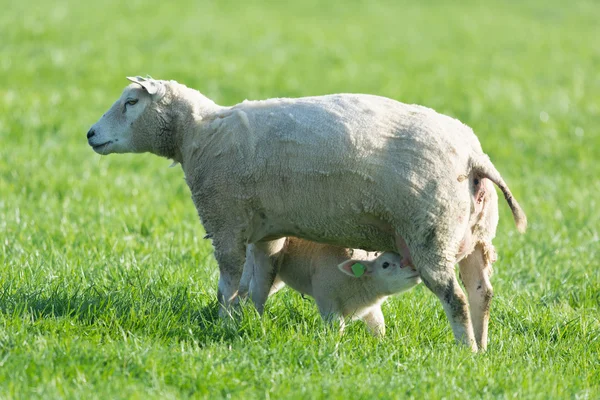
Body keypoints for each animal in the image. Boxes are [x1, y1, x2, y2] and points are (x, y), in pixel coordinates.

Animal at [237, 236, 420, 336]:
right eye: (385, 264)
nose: (415, 269)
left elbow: (379, 327)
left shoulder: (371, 309)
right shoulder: (327, 300)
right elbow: (337, 328)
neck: (357, 281)